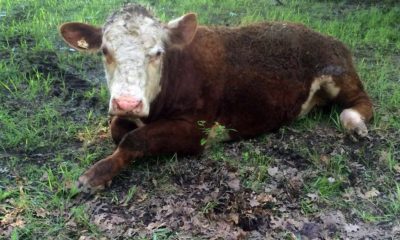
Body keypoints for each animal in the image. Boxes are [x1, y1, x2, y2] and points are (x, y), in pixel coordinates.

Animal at [59, 3, 372, 191]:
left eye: (158, 53)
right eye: (104, 51)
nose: (127, 102)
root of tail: (329, 37)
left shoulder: (197, 130)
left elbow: (133, 139)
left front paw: (95, 175)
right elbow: (118, 130)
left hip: (339, 75)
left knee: (362, 101)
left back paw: (354, 123)